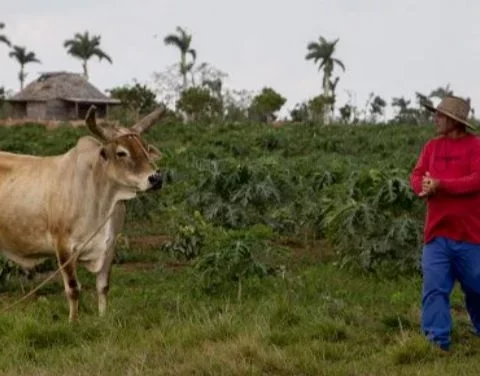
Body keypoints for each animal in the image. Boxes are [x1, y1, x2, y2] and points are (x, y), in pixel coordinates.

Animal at [0, 105, 165, 320]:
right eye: (121, 152)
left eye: (145, 148)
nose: (156, 178)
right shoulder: (64, 247)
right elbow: (73, 289)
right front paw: (73, 321)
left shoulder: (109, 246)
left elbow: (103, 287)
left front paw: (103, 318)